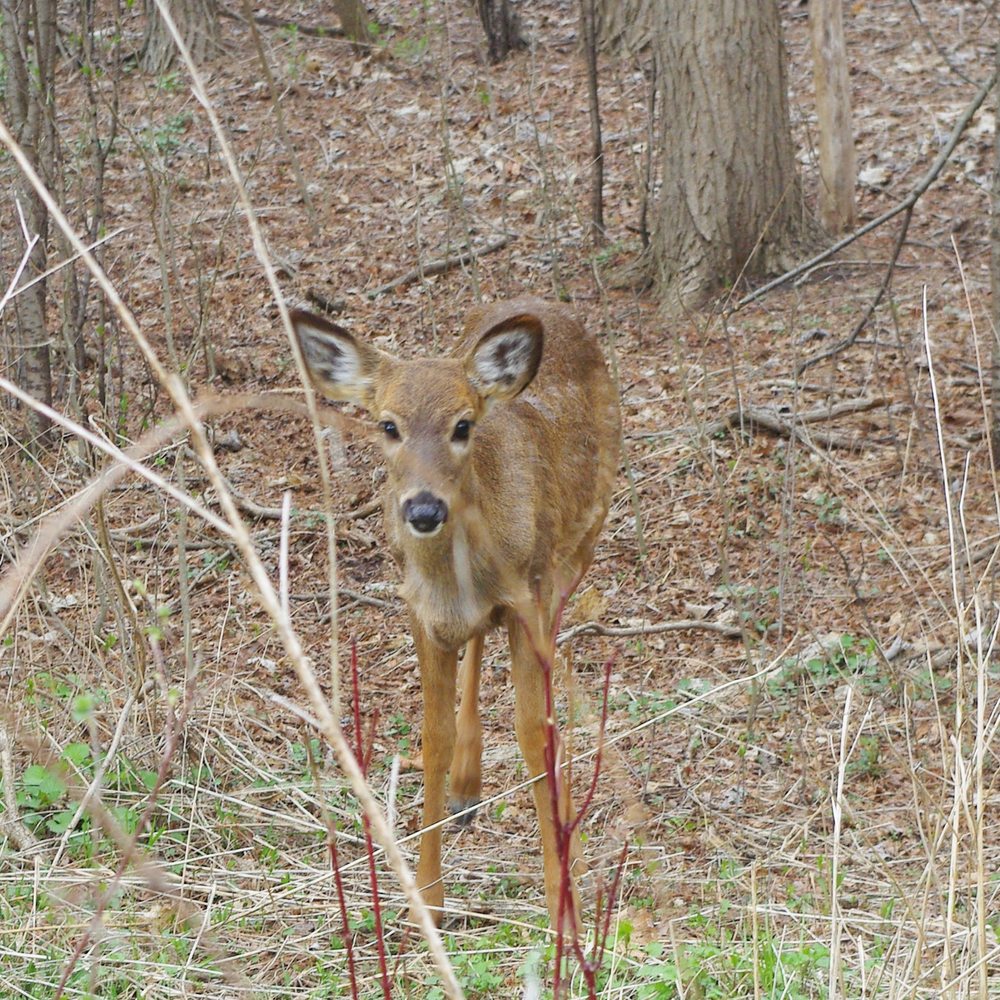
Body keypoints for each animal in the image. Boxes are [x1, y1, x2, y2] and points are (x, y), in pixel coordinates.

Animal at [290, 297, 620, 929]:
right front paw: (427, 896)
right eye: (387, 425)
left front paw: (561, 900)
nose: (423, 509)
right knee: (475, 644)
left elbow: (533, 734)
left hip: (582, 542)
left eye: (462, 426)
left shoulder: (530, 597)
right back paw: (468, 785)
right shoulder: (420, 612)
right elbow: (434, 736)